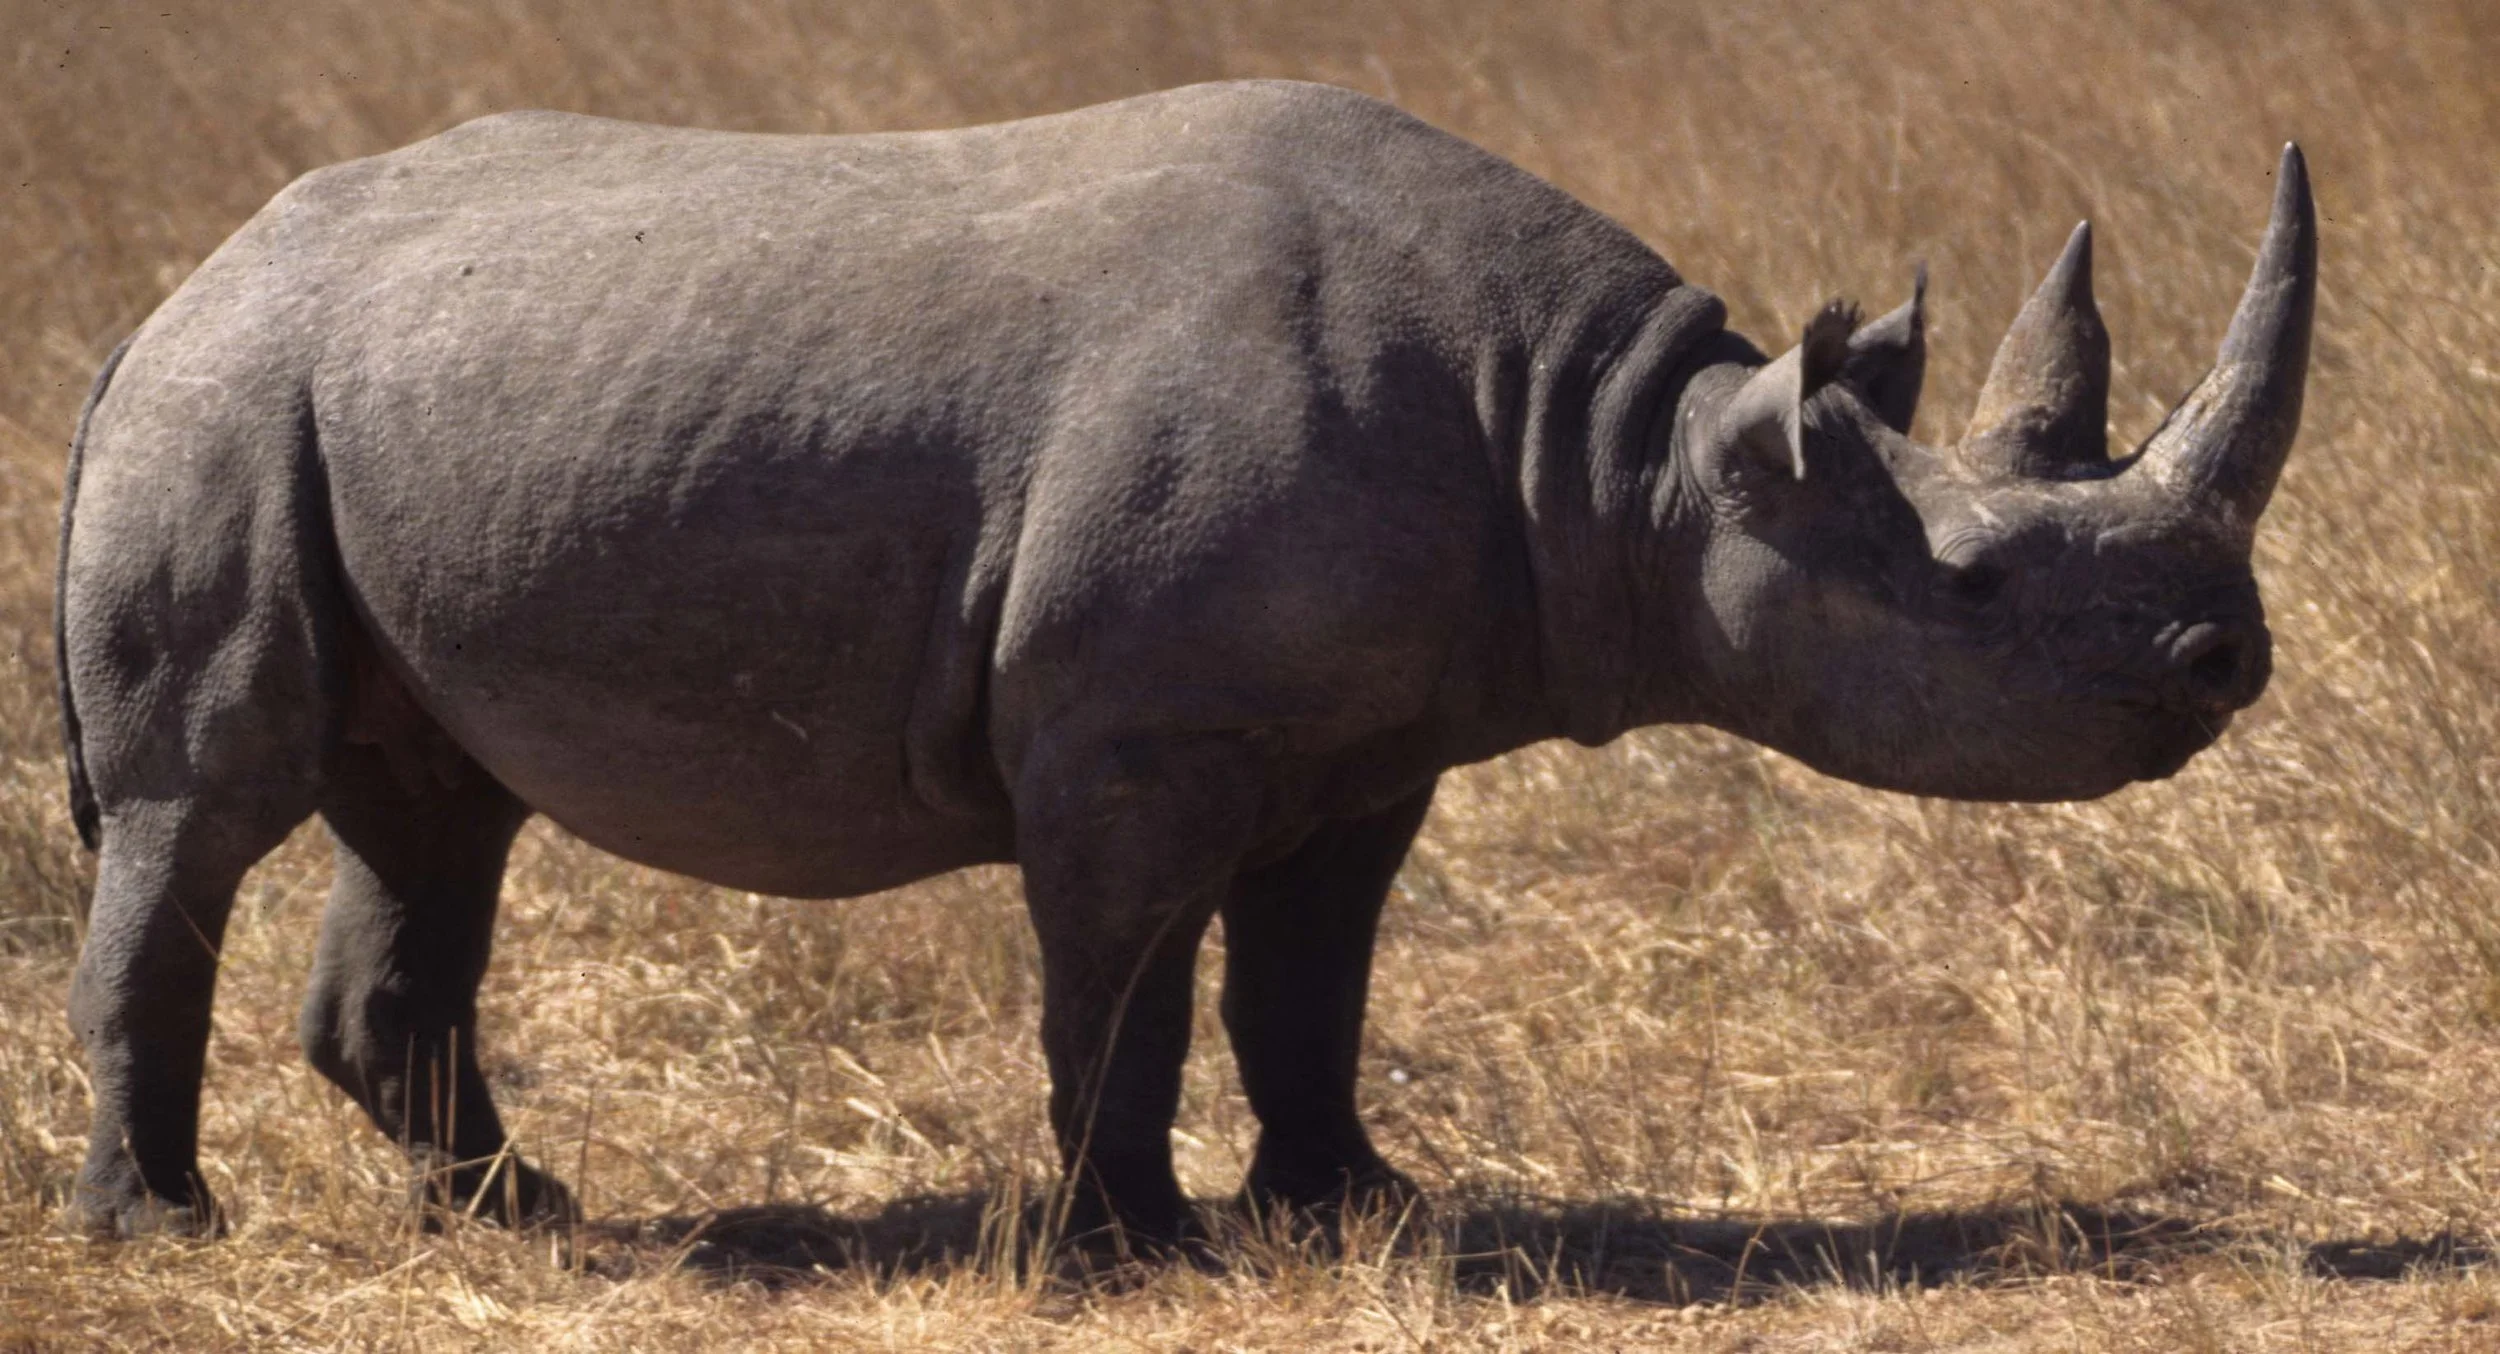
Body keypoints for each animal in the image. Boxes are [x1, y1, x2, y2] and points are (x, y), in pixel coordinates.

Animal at [56, 80, 2314, 1243]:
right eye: (1983, 589)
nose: (2229, 654)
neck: (1626, 452)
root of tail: (180, 282)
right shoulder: (1131, 730)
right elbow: (1128, 978)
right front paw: (1132, 1241)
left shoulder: (1382, 730)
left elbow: (1308, 977)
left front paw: (1356, 1205)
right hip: (225, 401)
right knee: (207, 802)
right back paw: (165, 1230)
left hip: (375, 404)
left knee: (438, 805)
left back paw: (529, 1213)